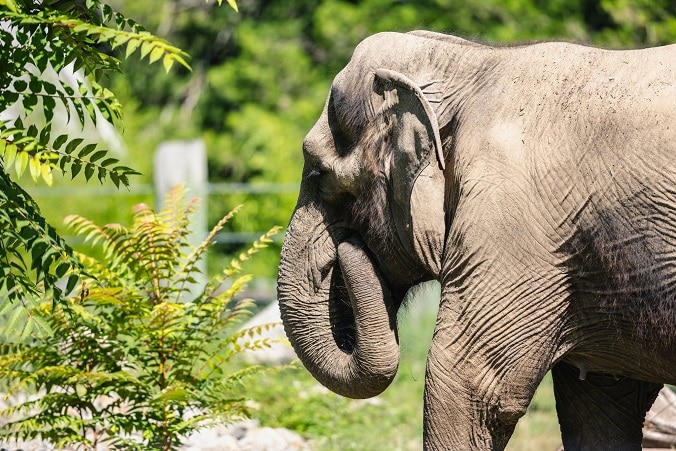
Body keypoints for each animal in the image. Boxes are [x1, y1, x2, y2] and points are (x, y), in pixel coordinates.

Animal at [276, 30, 676, 450]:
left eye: (320, 174)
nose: (346, 250)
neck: (471, 63)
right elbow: (600, 405)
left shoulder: (511, 222)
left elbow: (467, 383)